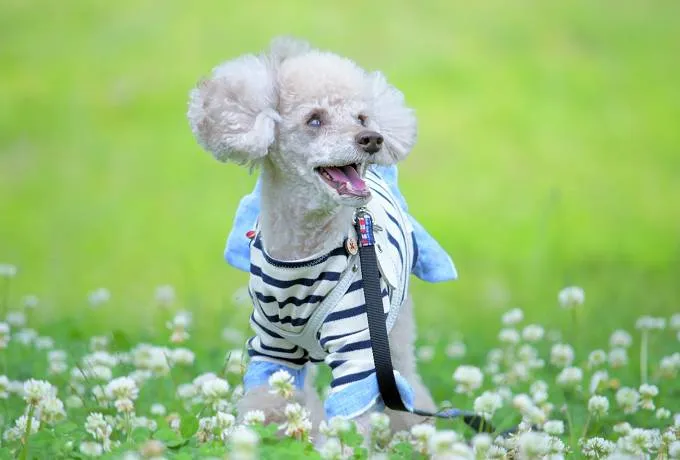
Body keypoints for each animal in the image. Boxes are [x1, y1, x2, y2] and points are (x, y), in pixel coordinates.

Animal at [187, 37, 456, 436]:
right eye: (314, 119)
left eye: (362, 118)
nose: (373, 138)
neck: (302, 251)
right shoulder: (273, 347)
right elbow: (268, 402)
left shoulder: (361, 345)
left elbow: (353, 414)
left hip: (393, 328)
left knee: (406, 385)